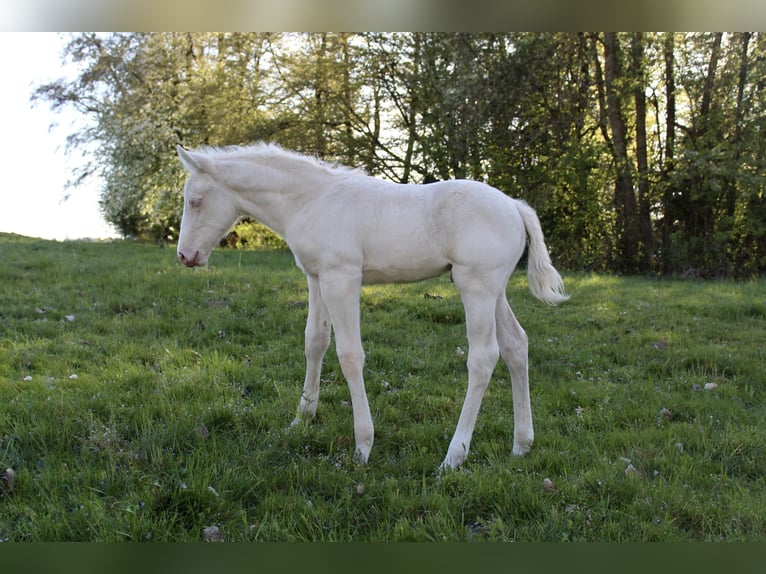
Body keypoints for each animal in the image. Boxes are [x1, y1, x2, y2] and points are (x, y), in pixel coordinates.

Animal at [175, 143, 569, 470]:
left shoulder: (342, 278)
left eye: (195, 200)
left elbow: (350, 355)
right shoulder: (317, 278)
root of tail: (515, 207)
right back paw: (521, 444)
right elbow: (314, 342)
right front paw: (302, 419)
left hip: (477, 287)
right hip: (495, 291)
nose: (184, 256)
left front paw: (363, 446)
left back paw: (454, 457)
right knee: (516, 345)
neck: (311, 200)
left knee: (484, 358)